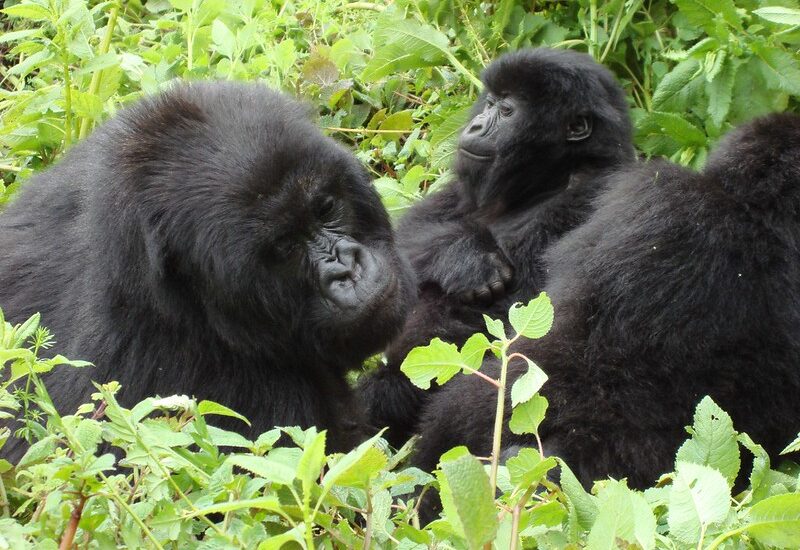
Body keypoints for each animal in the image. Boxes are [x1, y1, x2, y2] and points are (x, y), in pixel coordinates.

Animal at [360, 48, 636, 448]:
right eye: (489, 103)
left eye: (507, 112)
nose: (475, 126)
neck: (552, 177)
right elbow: (406, 239)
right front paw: (466, 260)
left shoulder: (594, 192)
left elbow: (531, 319)